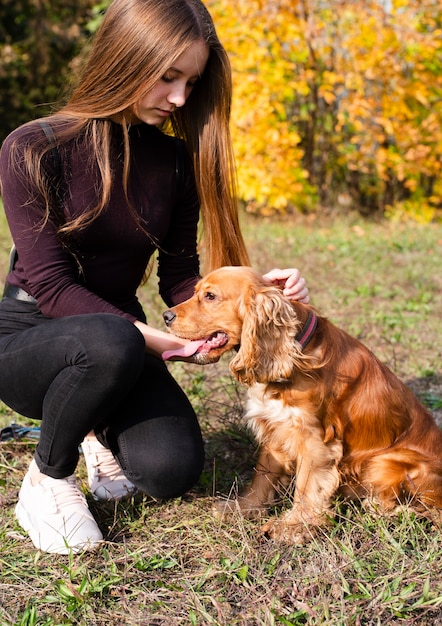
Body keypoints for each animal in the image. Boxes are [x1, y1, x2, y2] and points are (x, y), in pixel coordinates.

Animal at [162, 266, 442, 540]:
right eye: (195, 292)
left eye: (210, 296)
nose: (166, 316)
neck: (293, 353)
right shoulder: (275, 426)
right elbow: (262, 474)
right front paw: (244, 508)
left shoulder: (315, 439)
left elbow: (307, 486)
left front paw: (294, 526)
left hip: (384, 462)